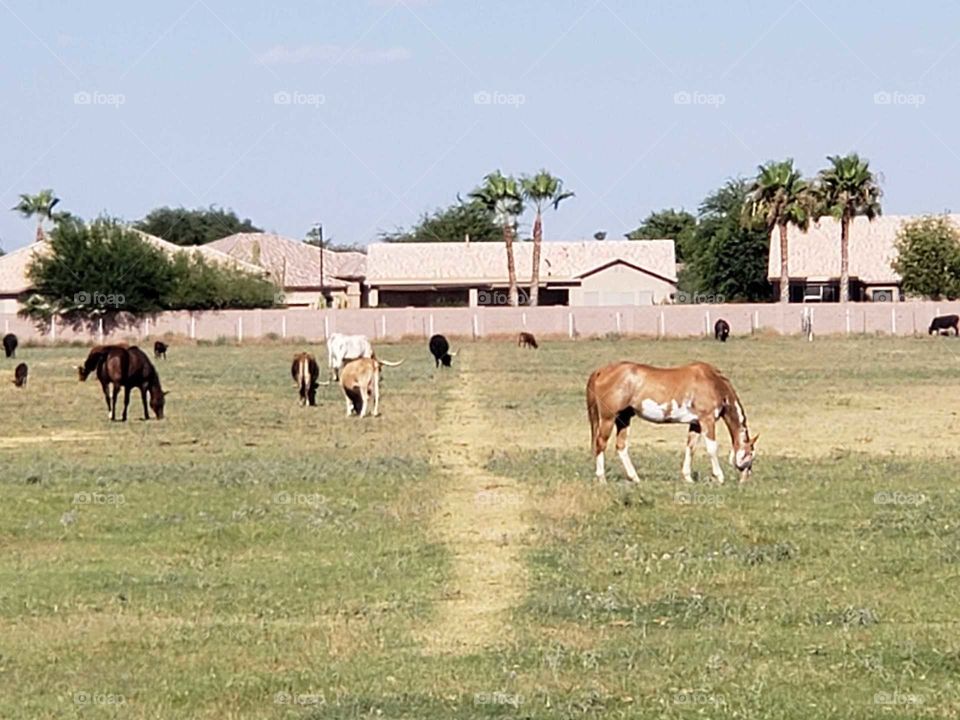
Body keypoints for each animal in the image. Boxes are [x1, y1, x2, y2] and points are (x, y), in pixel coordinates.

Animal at [586, 361, 758, 485]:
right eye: (750, 454)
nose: (746, 477)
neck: (714, 383)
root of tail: (601, 371)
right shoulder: (707, 421)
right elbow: (712, 449)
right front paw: (719, 476)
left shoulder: (695, 424)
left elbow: (690, 448)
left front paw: (688, 478)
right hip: (608, 419)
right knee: (600, 444)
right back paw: (602, 478)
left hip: (624, 419)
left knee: (621, 447)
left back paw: (634, 477)